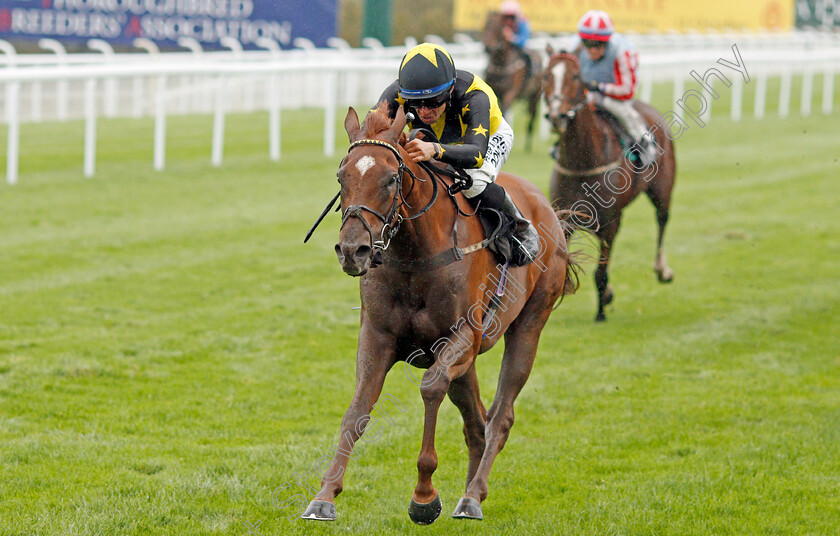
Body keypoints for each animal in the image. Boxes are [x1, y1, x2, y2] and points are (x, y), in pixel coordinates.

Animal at [302, 101, 576, 524]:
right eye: (341, 176)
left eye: (390, 178)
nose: (352, 250)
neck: (414, 255)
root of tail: (546, 206)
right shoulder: (377, 336)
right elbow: (357, 410)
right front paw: (325, 495)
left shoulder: (462, 335)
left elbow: (431, 387)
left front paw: (424, 496)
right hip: (469, 363)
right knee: (477, 420)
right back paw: (470, 491)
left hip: (528, 326)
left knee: (500, 415)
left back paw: (472, 496)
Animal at [480, 12, 544, 151]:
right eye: (484, 26)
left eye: (497, 28)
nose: (487, 47)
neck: (501, 63)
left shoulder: (511, 93)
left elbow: (503, 110)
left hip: (534, 97)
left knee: (532, 117)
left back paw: (528, 146)